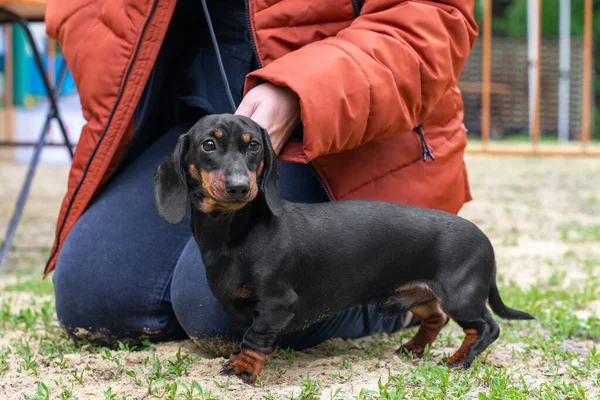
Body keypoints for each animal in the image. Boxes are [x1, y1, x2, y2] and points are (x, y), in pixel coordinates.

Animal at [154, 112, 536, 384]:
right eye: (208, 145)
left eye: (253, 147)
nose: (238, 187)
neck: (234, 233)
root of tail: (485, 239)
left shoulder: (277, 303)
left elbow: (254, 337)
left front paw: (243, 369)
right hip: (422, 294)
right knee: (437, 318)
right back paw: (414, 349)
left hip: (461, 295)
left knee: (486, 328)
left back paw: (459, 360)